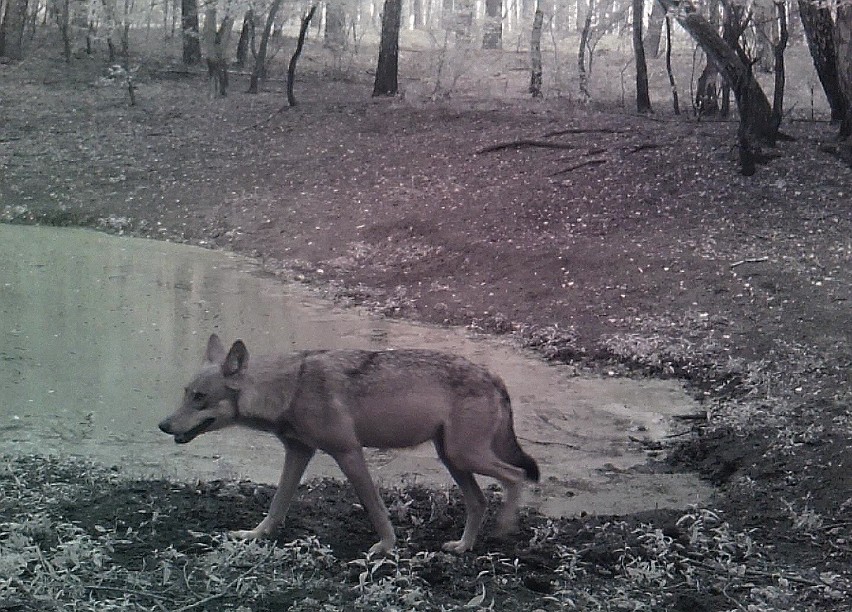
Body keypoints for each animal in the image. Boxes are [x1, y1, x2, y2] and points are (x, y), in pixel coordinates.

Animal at [158, 334, 540, 556]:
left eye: (200, 398)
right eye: (185, 393)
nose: (163, 425)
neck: (289, 389)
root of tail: (494, 376)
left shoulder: (349, 453)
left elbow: (376, 509)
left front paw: (385, 548)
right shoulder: (298, 453)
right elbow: (277, 505)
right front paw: (255, 535)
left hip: (465, 456)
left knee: (517, 476)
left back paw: (504, 528)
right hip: (453, 459)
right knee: (480, 501)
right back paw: (462, 547)